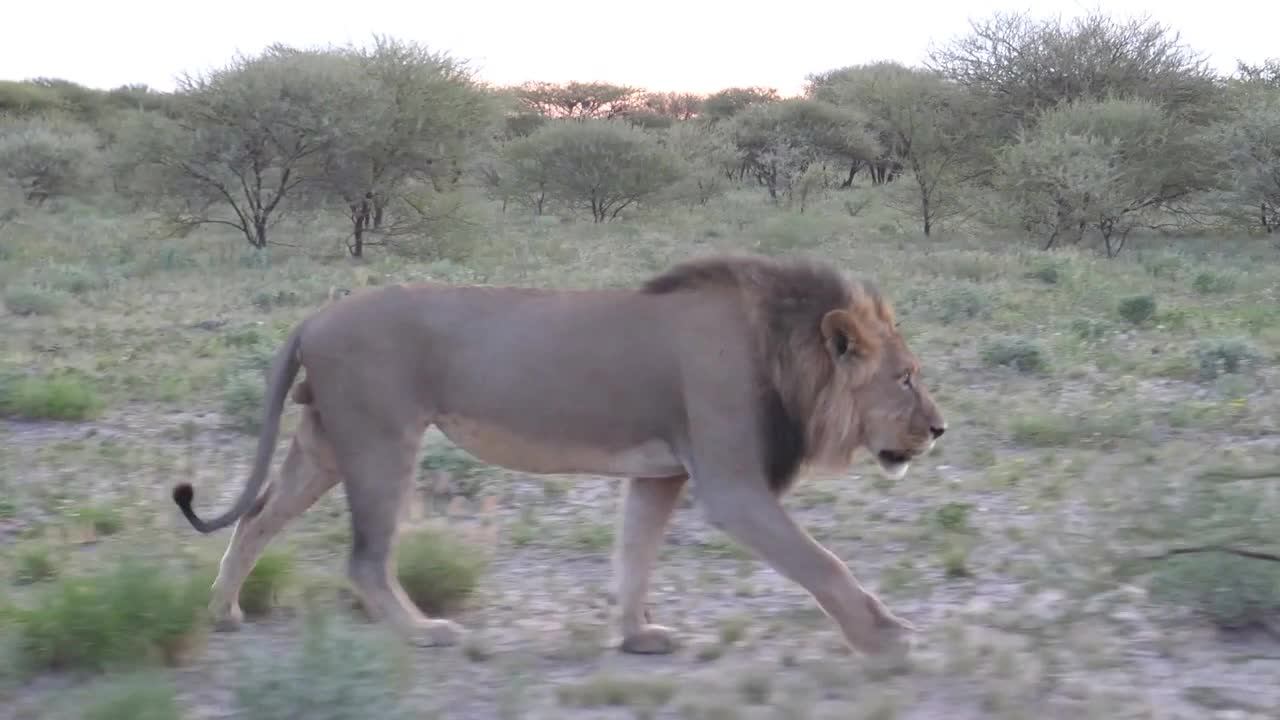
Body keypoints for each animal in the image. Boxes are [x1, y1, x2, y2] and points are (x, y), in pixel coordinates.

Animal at [172, 252, 942, 655]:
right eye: (906, 378)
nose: (938, 430)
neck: (781, 352)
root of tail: (315, 315)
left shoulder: (661, 474)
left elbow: (634, 556)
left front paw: (637, 635)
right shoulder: (732, 486)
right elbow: (824, 563)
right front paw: (886, 634)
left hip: (327, 444)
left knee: (258, 519)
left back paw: (223, 611)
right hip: (383, 440)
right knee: (364, 558)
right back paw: (423, 631)